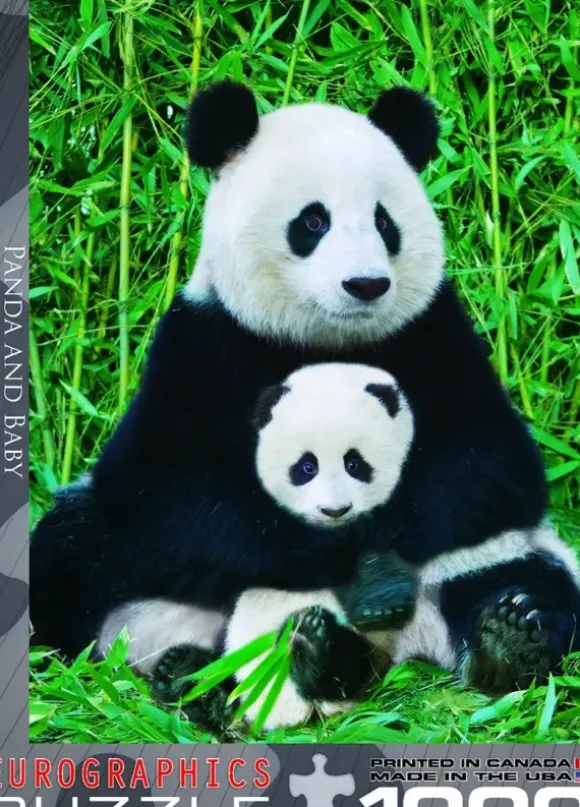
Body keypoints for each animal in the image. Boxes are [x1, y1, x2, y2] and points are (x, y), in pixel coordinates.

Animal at [30, 79, 580, 733]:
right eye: (313, 221)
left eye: (384, 222)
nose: (366, 285)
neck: (323, 340)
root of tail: (397, 650)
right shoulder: (201, 346)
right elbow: (165, 491)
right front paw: (332, 550)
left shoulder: (434, 336)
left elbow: (489, 466)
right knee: (69, 554)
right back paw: (200, 677)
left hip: (498, 555)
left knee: (529, 578)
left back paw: (504, 639)